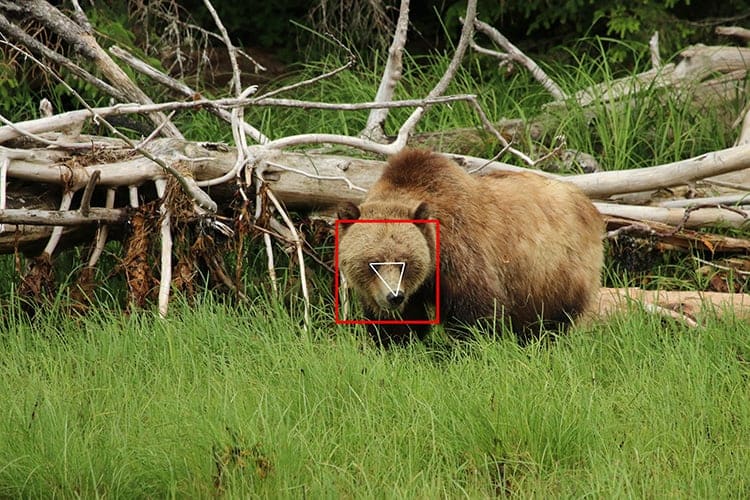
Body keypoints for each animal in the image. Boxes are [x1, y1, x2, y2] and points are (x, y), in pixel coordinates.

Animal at [340, 146, 604, 346]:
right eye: (373, 262)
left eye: (405, 260)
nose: (394, 296)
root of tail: (590, 205)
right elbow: (399, 323)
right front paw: (395, 343)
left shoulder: (459, 254)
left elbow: (476, 312)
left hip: (554, 270)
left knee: (550, 319)